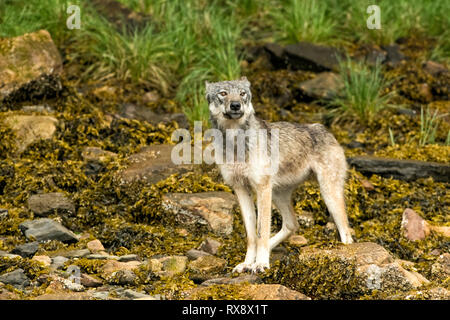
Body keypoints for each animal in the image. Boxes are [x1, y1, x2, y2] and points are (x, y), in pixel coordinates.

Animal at [206, 75, 354, 272]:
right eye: (223, 93)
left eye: (242, 93)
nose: (236, 105)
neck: (236, 143)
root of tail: (325, 130)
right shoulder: (241, 189)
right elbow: (252, 235)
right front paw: (248, 263)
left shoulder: (262, 188)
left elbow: (261, 231)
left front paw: (261, 263)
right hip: (278, 194)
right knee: (292, 224)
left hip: (328, 194)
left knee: (345, 231)